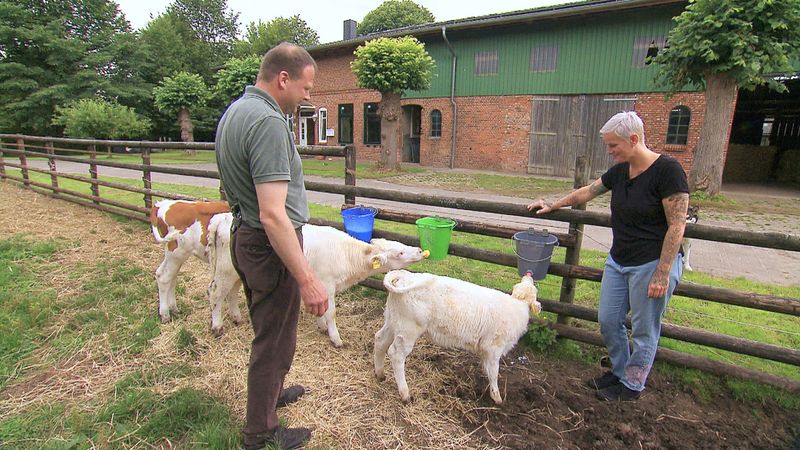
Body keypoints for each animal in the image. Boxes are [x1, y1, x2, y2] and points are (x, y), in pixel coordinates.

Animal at [374, 270, 536, 404]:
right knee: (396, 355)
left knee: (380, 340)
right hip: (407, 330)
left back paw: (380, 374)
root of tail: (405, 277)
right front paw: (496, 397)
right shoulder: (493, 348)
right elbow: (494, 372)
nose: (529, 274)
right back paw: (405, 394)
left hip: (392, 321)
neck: (517, 306)